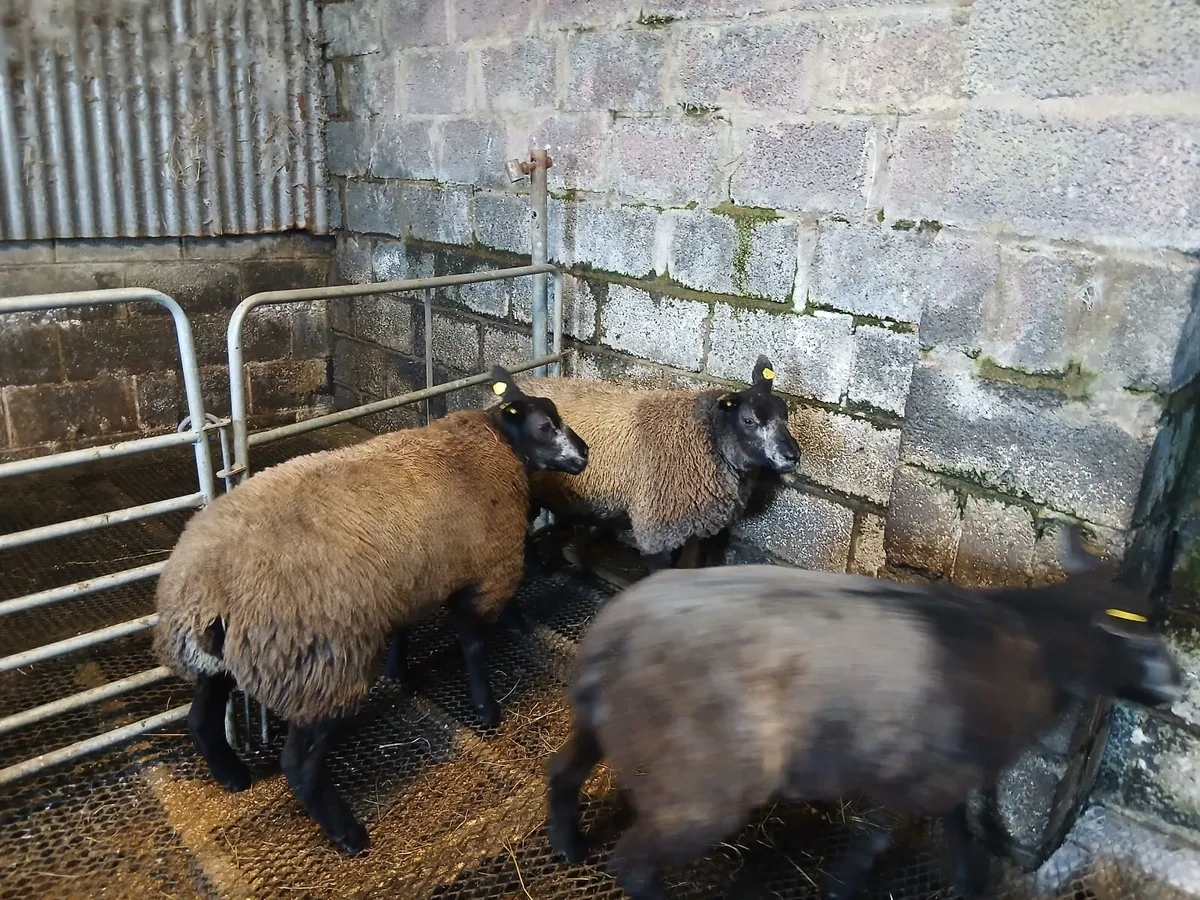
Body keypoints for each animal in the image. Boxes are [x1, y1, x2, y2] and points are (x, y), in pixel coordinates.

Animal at [153, 365, 588, 856]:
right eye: (546, 426)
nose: (585, 454)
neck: (493, 446)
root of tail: (201, 588)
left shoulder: (412, 581)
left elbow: (403, 630)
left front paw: (400, 672)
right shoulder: (481, 571)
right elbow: (474, 646)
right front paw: (487, 710)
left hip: (221, 661)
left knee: (201, 722)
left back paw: (232, 776)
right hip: (318, 667)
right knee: (298, 765)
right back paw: (348, 834)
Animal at [514, 354, 800, 576]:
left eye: (785, 415)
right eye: (749, 420)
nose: (793, 456)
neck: (706, 435)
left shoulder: (692, 523)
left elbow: (690, 565)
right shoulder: (657, 525)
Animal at [545, 524, 1184, 900]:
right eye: (1138, 638)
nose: (1178, 685)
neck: (1030, 646)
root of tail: (613, 633)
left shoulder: (946, 775)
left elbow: (958, 831)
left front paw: (969, 882)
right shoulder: (918, 778)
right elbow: (877, 843)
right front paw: (844, 887)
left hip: (602, 726)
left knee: (562, 771)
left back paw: (569, 846)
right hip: (700, 787)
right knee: (633, 862)